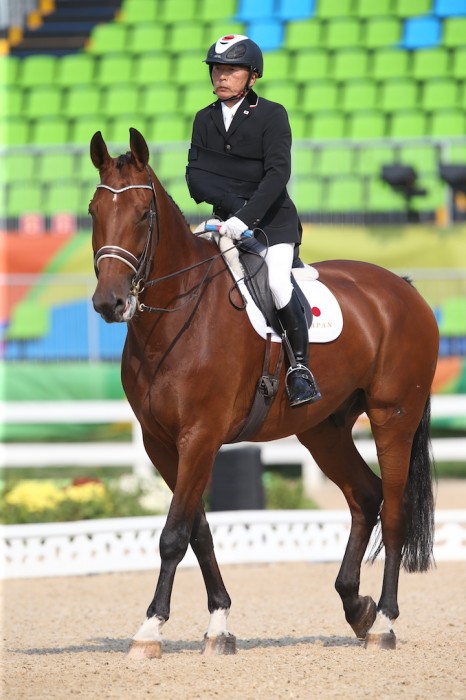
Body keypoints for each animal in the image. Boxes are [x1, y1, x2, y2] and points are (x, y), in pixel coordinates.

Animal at [89, 129, 438, 660]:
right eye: (92, 211)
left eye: (144, 214)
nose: (110, 303)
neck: (176, 316)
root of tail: (403, 288)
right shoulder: (161, 443)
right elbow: (199, 531)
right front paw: (218, 625)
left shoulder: (201, 436)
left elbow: (174, 534)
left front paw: (150, 629)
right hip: (323, 429)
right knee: (365, 495)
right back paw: (356, 606)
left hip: (392, 417)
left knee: (394, 511)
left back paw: (383, 623)